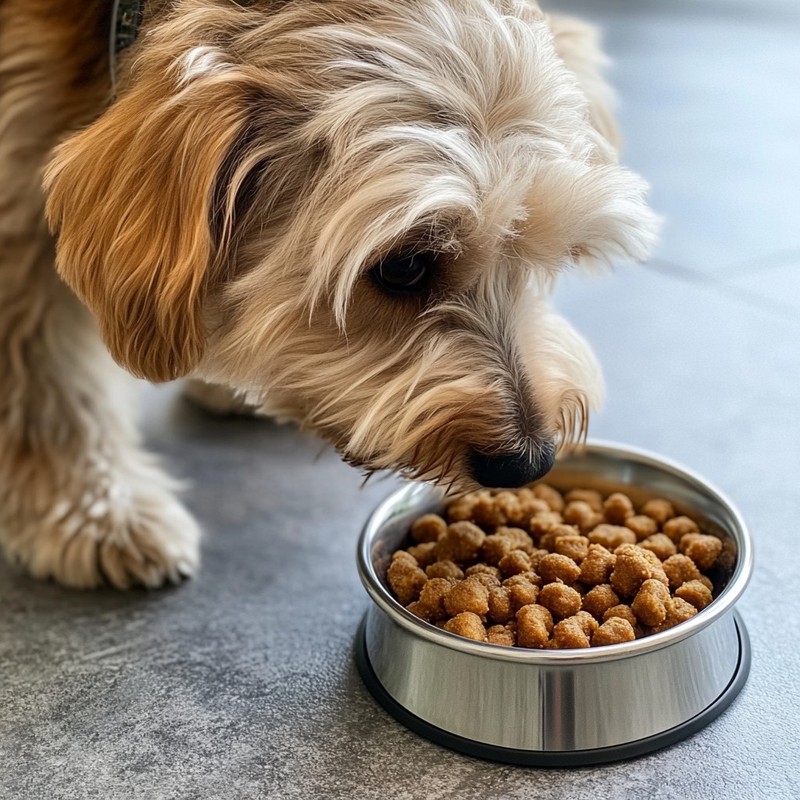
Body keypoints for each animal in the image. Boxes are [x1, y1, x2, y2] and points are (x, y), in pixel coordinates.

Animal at [0, 0, 660, 588]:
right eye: (403, 267)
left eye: (552, 253)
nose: (528, 462)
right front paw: (95, 512)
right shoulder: (18, 226)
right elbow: (47, 389)